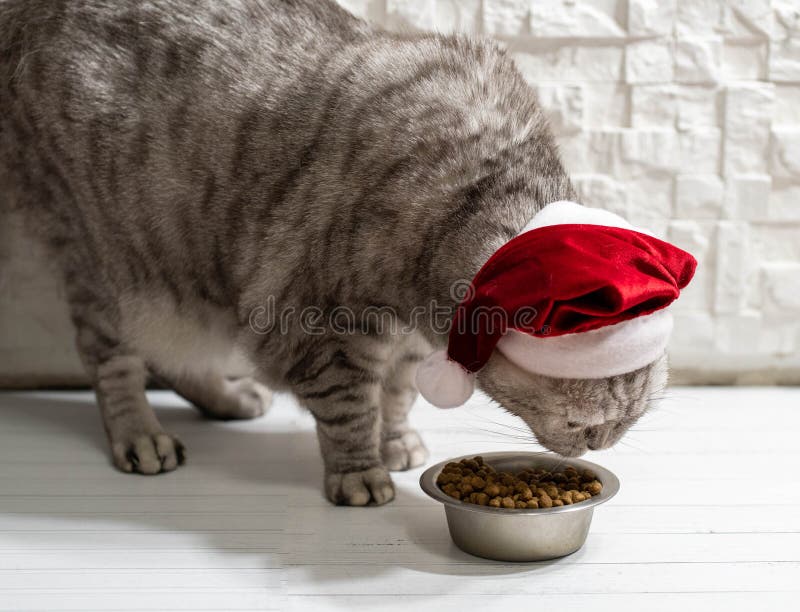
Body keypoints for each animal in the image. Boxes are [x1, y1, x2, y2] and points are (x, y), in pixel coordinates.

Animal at [0, 0, 664, 506]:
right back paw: (140, 433)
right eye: (584, 426)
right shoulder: (319, 330)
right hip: (109, 259)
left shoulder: (412, 344)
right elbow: (349, 409)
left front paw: (395, 440)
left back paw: (228, 397)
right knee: (110, 360)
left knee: (171, 355)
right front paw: (360, 470)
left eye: (626, 425)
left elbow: (395, 395)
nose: (600, 445)